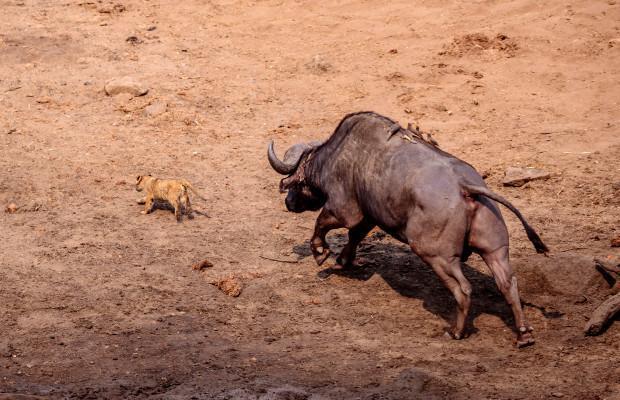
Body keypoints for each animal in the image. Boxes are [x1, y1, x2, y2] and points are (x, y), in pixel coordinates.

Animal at [266, 110, 548, 346]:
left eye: (295, 185)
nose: (288, 202)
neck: (335, 155)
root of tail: (465, 187)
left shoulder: (344, 210)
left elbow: (323, 224)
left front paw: (320, 252)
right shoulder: (370, 215)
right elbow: (355, 236)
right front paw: (343, 261)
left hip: (436, 255)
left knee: (464, 289)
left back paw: (456, 331)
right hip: (495, 251)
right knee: (508, 284)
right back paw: (523, 334)